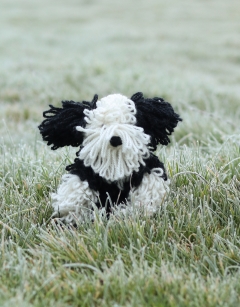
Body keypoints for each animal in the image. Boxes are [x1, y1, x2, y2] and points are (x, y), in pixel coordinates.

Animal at [39, 91, 182, 224]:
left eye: (129, 123)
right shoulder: (86, 172)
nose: (115, 139)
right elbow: (77, 188)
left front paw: (127, 214)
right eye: (103, 126)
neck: (115, 163)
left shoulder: (147, 170)